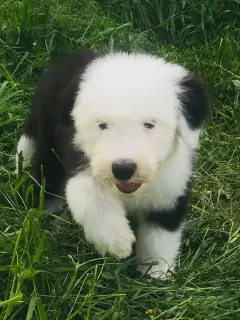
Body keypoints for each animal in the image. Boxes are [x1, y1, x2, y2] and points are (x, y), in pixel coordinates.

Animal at [16, 50, 208, 278]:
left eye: (150, 124)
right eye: (102, 125)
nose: (123, 169)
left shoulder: (172, 187)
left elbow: (161, 233)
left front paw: (155, 271)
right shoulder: (78, 157)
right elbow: (89, 194)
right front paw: (116, 241)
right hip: (49, 143)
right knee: (47, 176)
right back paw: (48, 213)